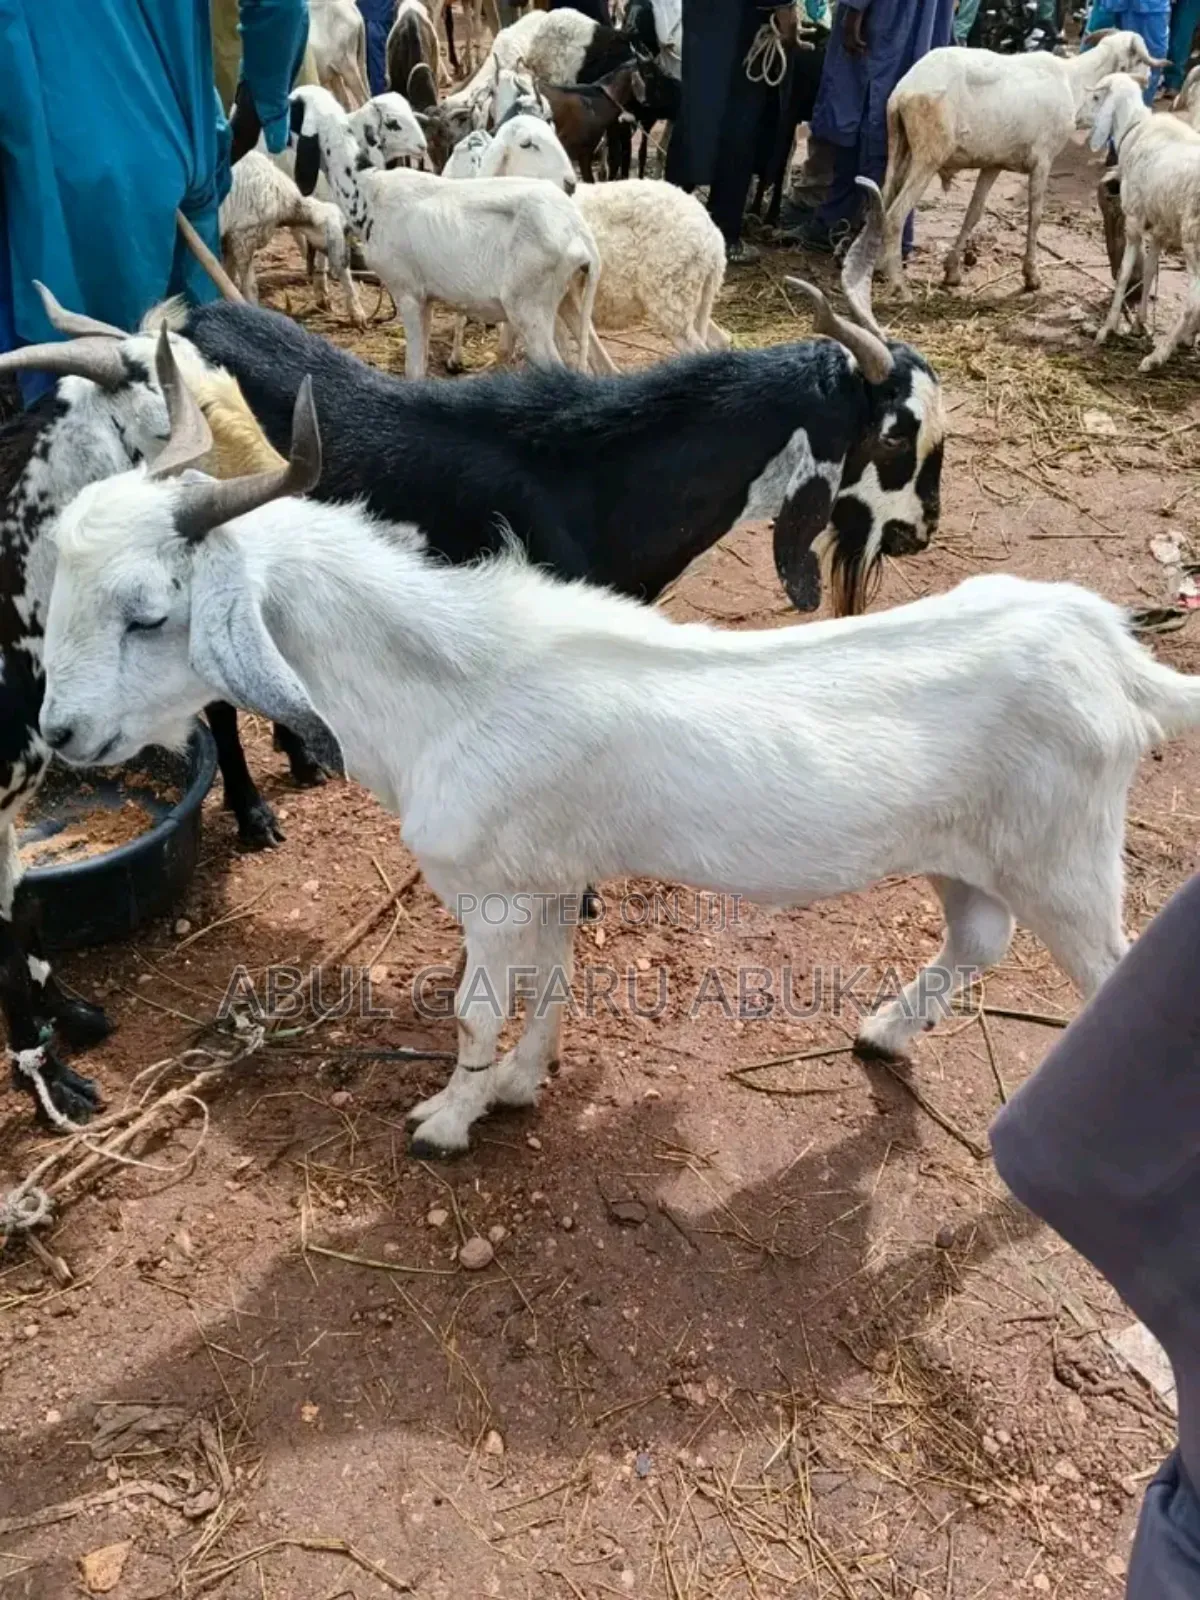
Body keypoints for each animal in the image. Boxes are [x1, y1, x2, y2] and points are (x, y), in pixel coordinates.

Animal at [41, 332, 1197, 1156]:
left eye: (150, 613)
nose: (58, 729)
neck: (449, 684)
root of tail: (1106, 644)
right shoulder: (550, 876)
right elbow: (550, 988)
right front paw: (517, 1089)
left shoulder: (489, 891)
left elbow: (474, 1011)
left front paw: (446, 1121)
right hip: (974, 851)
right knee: (977, 940)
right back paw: (880, 1031)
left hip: (1067, 860)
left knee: (1106, 972)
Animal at [219, 153, 366, 327]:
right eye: (345, 231)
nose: (349, 260)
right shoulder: (243, 237)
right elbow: (251, 288)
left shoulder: (229, 238)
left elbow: (227, 276)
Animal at [292, 84, 602, 378]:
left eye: (294, 109)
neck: (368, 189)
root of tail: (578, 230)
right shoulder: (426, 298)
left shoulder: (408, 292)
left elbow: (414, 370)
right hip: (563, 299)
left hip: (529, 307)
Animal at [880, 30, 1167, 293]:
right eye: (1138, 59)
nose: (1149, 80)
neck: (1073, 82)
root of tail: (904, 90)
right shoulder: (1043, 160)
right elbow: (1035, 216)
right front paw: (1031, 276)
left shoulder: (993, 164)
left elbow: (974, 212)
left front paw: (952, 271)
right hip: (928, 157)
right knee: (894, 216)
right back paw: (899, 286)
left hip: (900, 148)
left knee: (882, 203)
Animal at [1090, 72, 1200, 369]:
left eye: (1096, 97)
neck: (1134, 129)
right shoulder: (1160, 227)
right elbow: (1150, 270)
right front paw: (1139, 323)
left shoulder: (1134, 221)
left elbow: (1124, 274)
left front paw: (1107, 328)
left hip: (1193, 239)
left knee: (1194, 301)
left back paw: (1158, 355)